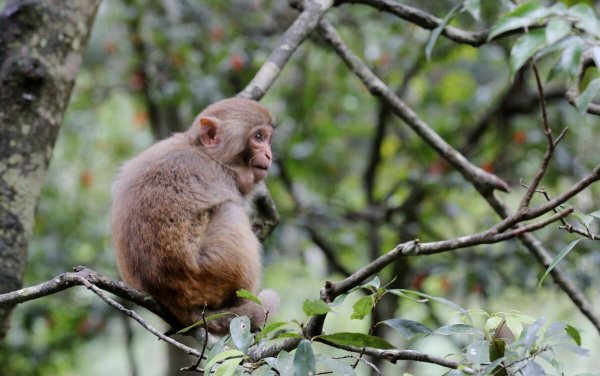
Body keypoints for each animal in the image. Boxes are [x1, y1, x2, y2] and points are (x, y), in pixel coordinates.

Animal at [112, 97, 278, 334]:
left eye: (268, 139)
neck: (206, 153)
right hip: (213, 274)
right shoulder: (223, 178)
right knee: (231, 211)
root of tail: (177, 304)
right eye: (258, 137)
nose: (269, 155)